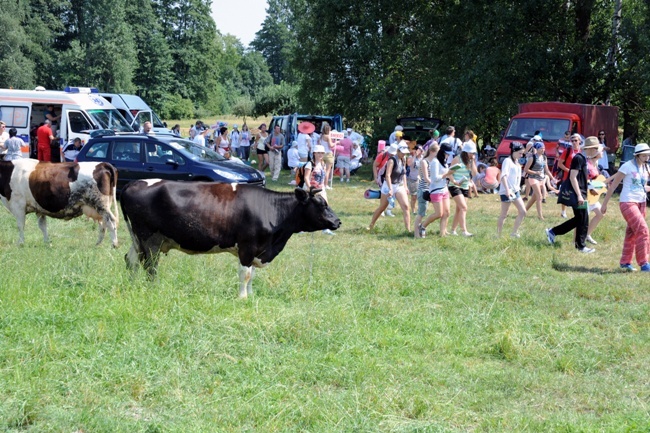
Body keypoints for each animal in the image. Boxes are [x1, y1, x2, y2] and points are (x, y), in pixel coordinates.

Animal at [121, 179, 342, 296]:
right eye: (321, 204)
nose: (338, 221)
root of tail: (133, 183)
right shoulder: (247, 247)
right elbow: (245, 274)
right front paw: (242, 298)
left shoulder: (257, 249)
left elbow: (252, 274)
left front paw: (251, 295)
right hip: (150, 238)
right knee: (150, 265)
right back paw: (153, 289)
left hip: (138, 239)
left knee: (131, 260)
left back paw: (132, 285)